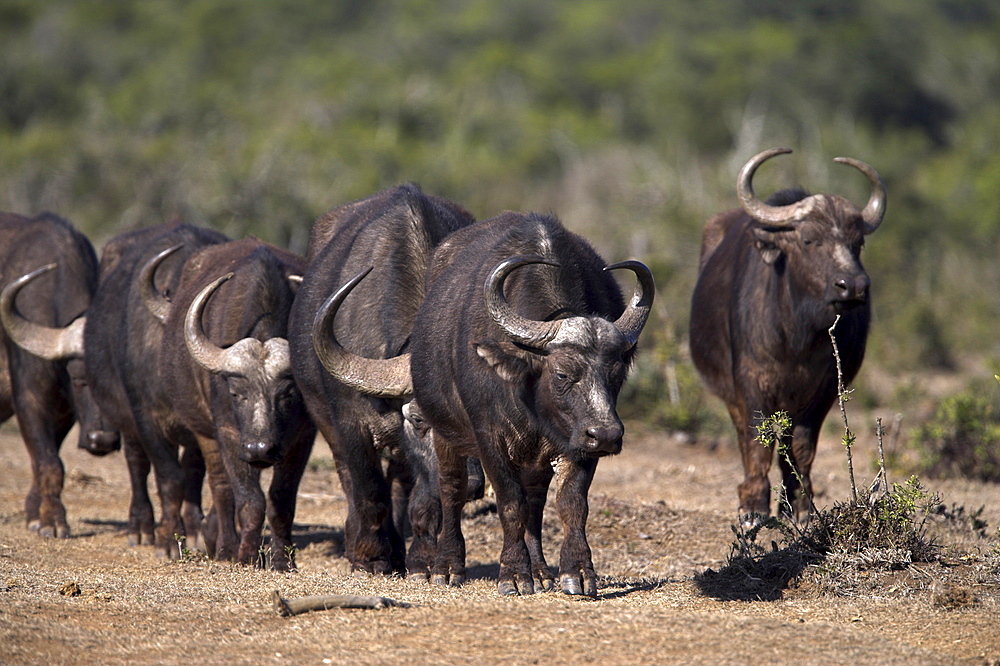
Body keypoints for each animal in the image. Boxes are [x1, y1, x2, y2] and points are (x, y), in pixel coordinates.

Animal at [290, 183, 476, 576]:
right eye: (419, 419)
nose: (475, 485)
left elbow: (423, 501)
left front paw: (422, 560)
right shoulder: (351, 426)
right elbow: (369, 490)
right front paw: (372, 556)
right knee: (352, 481)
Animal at [692, 148, 888, 520]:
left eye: (858, 243)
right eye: (808, 239)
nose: (854, 285)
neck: (796, 338)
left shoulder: (824, 390)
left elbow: (803, 446)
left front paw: (801, 504)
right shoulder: (750, 383)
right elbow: (756, 442)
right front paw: (753, 504)